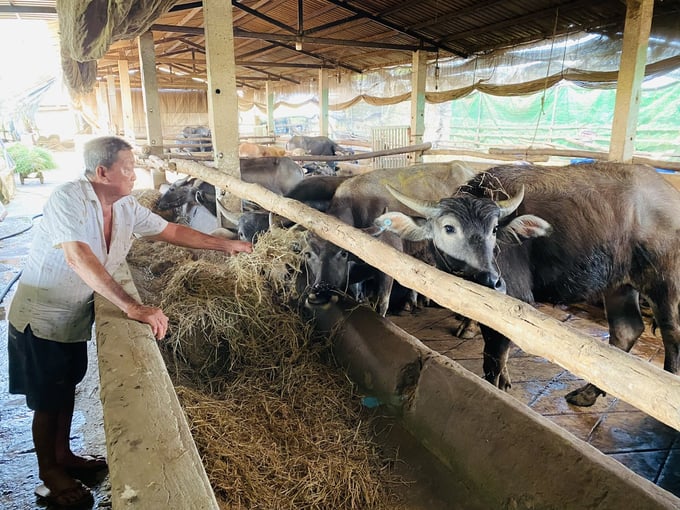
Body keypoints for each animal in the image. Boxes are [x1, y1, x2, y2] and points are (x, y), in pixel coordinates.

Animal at [374, 163, 680, 406]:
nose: (492, 281)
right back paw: (585, 394)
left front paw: (496, 386)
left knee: (671, 333)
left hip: (663, 281)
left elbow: (494, 356)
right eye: (449, 228)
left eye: (494, 229)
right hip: (618, 284)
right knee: (626, 331)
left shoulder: (514, 301)